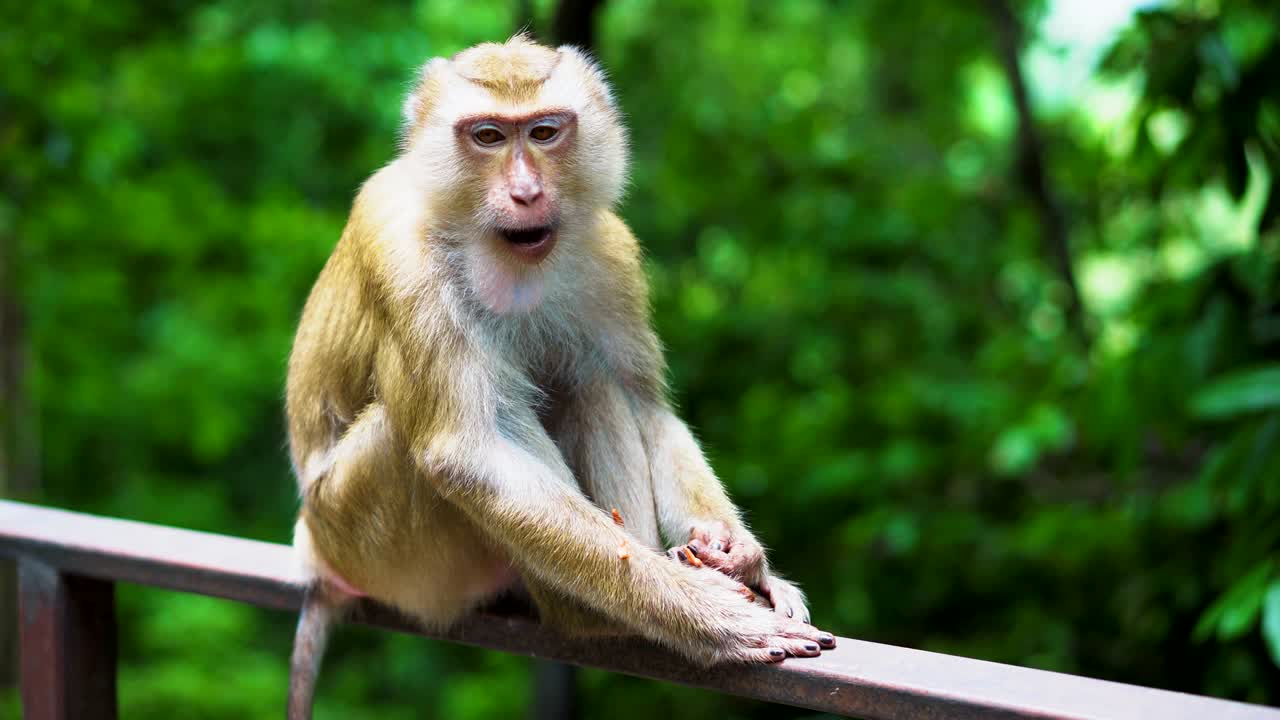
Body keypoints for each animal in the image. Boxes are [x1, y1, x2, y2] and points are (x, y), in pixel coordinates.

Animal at [284, 35, 834, 719]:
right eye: (489, 136)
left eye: (545, 132)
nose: (526, 192)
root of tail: (316, 554)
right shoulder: (402, 254)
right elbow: (470, 455)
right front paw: (708, 615)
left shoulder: (610, 253)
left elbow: (645, 406)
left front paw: (741, 556)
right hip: (379, 545)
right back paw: (590, 616)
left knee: (591, 384)